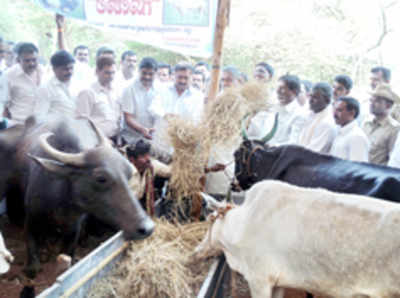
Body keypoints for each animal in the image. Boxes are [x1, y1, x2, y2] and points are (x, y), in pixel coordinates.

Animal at [0, 116, 154, 278]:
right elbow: (31, 246)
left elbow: (69, 250)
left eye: (129, 173)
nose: (147, 228)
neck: (62, 201)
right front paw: (32, 266)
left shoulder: (75, 225)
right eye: (101, 178)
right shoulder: (32, 216)